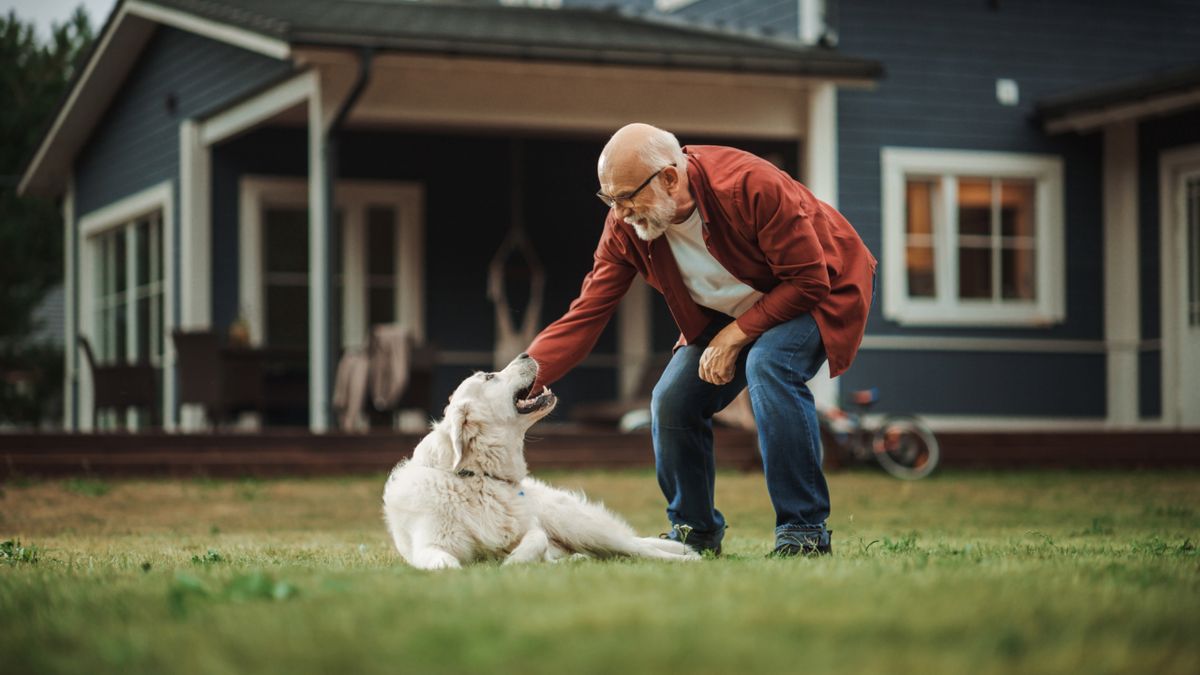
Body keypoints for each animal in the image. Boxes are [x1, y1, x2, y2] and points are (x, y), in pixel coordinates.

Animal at [384, 353, 700, 566]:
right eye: (489, 377)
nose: (526, 353)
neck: (479, 478)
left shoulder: (533, 529)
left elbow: (535, 540)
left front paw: (513, 562)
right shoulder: (428, 546)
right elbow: (446, 564)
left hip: (580, 526)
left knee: (639, 549)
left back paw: (688, 559)